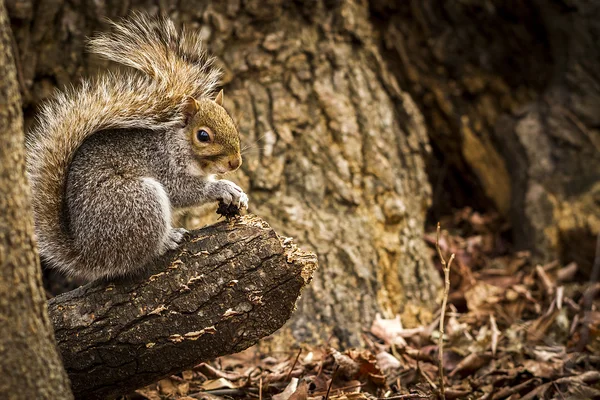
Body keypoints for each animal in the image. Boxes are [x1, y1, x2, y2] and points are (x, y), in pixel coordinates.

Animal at [26, 13, 248, 282]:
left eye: (231, 121)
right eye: (203, 135)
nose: (235, 162)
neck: (178, 145)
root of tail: (90, 254)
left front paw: (239, 193)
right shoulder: (164, 166)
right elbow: (184, 191)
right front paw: (222, 187)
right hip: (137, 201)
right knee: (137, 256)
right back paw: (167, 240)